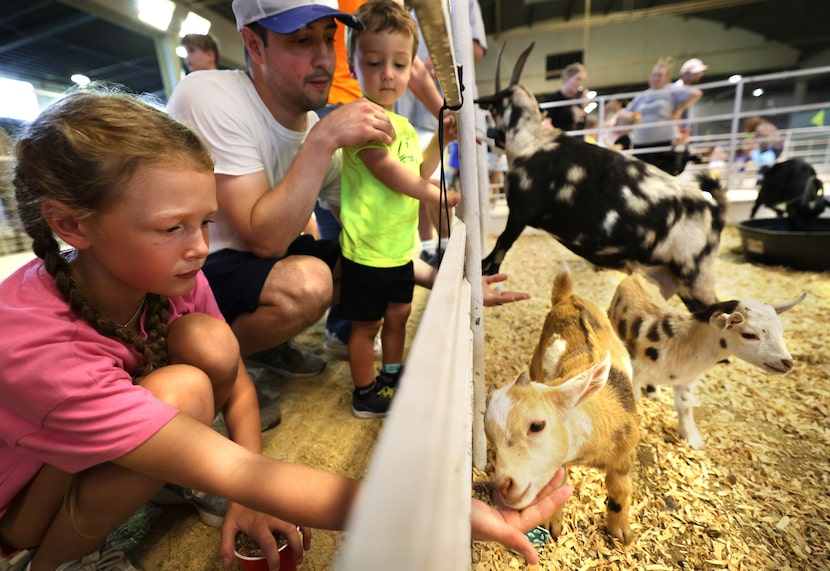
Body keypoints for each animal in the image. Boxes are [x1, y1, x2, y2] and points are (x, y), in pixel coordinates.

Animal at [480, 44, 728, 312]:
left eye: (492, 110)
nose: (493, 136)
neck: (531, 139)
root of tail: (715, 210)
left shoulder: (520, 211)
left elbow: (502, 244)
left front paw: (485, 269)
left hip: (696, 276)